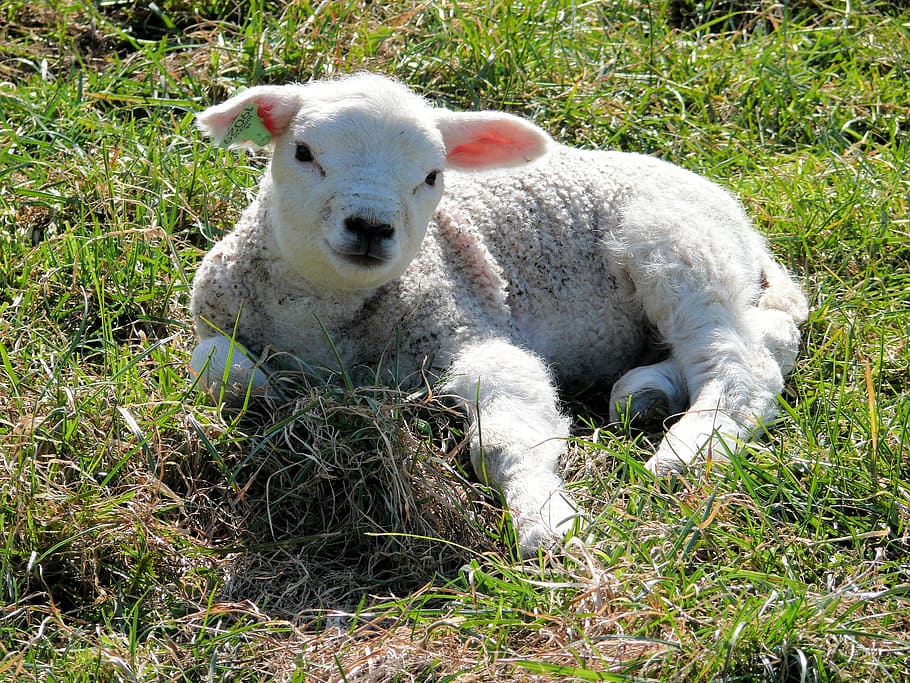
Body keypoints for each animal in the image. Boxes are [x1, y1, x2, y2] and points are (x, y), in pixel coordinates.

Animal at [189, 72, 808, 557]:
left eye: (432, 176)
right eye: (303, 153)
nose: (370, 226)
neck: (323, 319)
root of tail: (744, 226)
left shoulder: (468, 326)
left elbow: (507, 434)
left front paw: (547, 523)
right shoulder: (214, 320)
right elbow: (218, 372)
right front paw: (269, 394)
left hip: (678, 247)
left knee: (742, 361)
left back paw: (687, 451)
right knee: (767, 336)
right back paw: (647, 392)